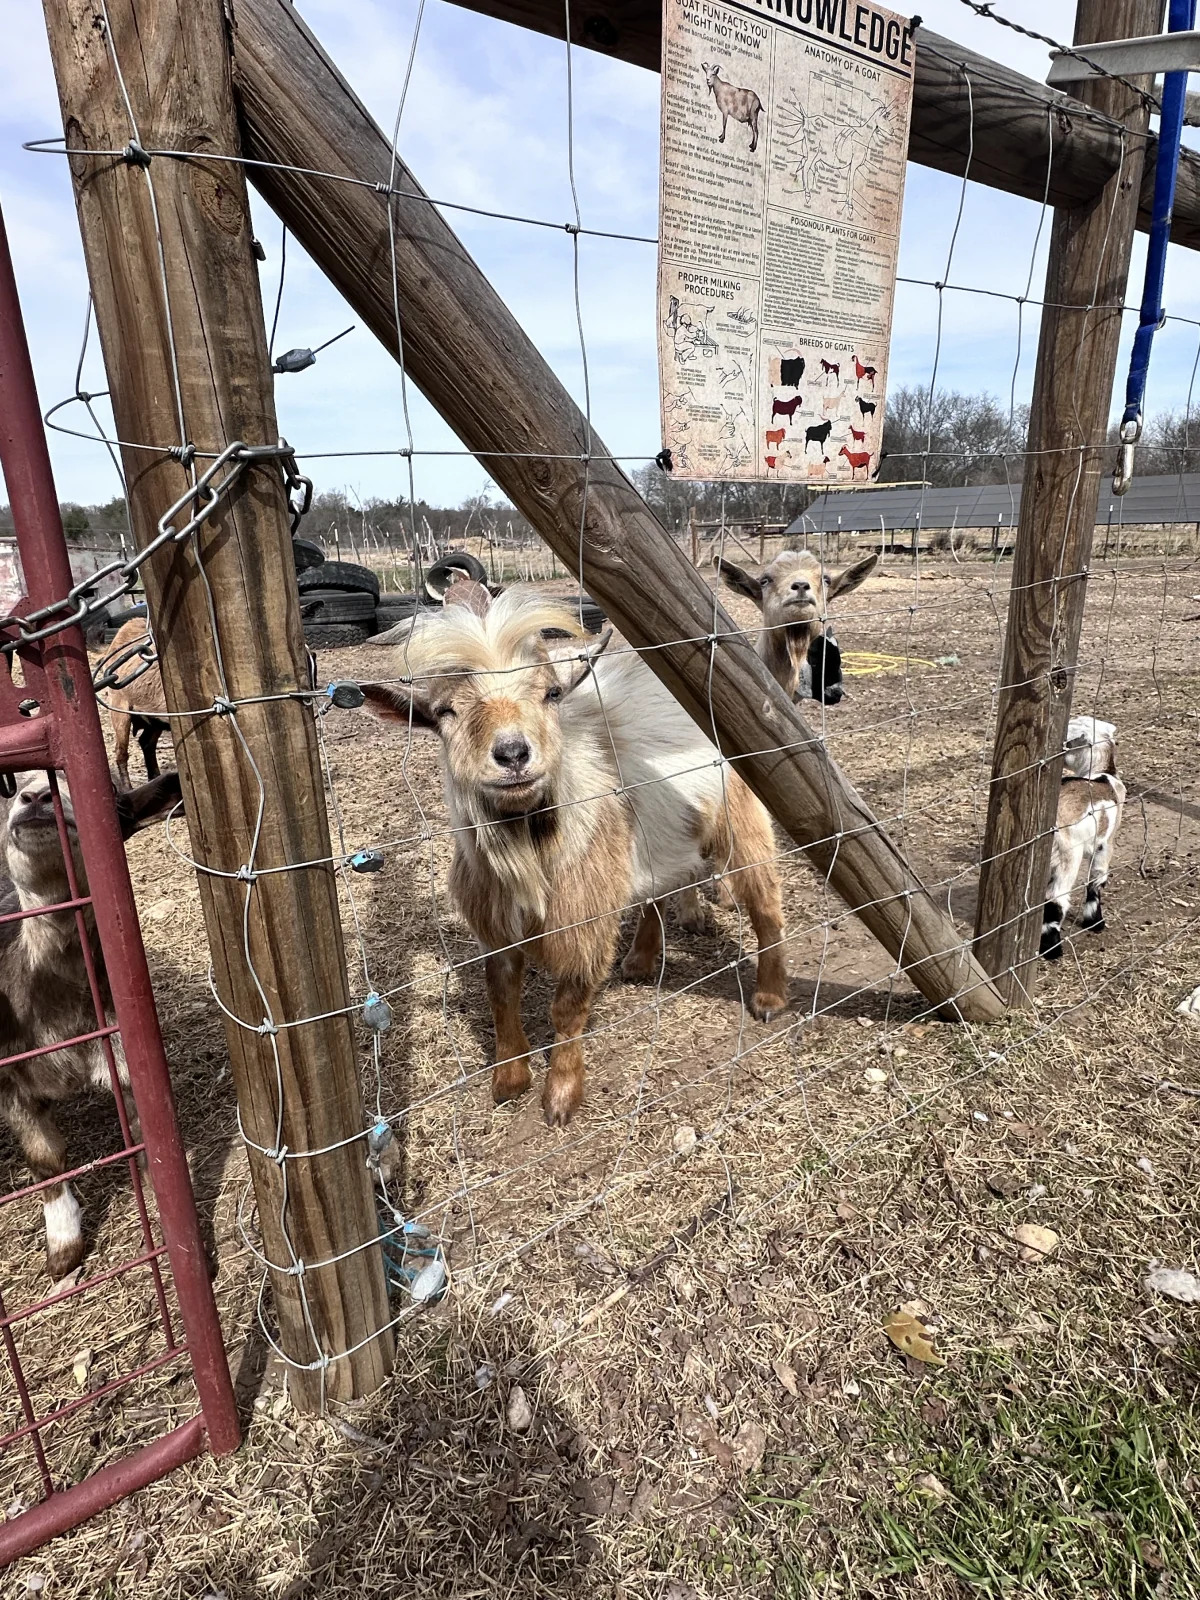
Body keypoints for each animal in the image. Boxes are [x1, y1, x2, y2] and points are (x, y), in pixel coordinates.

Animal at [0, 771, 181, 1276]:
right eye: (10, 789)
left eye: (111, 803)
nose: (36, 799)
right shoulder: (6, 1077)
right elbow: (45, 1158)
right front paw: (63, 1250)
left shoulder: (126, 1055)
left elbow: (150, 1147)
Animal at [100, 618, 170, 791]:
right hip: (120, 711)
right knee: (121, 753)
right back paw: (128, 788)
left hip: (153, 719)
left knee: (146, 743)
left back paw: (155, 778)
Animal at [361, 590, 788, 1127]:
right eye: (444, 712)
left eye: (551, 694)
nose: (513, 753)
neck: (531, 851)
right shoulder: (496, 925)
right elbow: (500, 992)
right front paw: (509, 1078)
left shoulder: (584, 922)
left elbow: (566, 1010)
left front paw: (561, 1097)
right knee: (659, 890)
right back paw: (641, 960)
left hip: (742, 819)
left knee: (766, 904)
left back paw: (770, 996)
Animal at [1040, 717, 1124, 961]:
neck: (1102, 773)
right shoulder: (1106, 844)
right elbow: (1097, 880)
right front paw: (1095, 922)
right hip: (1068, 855)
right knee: (1056, 898)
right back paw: (1052, 949)